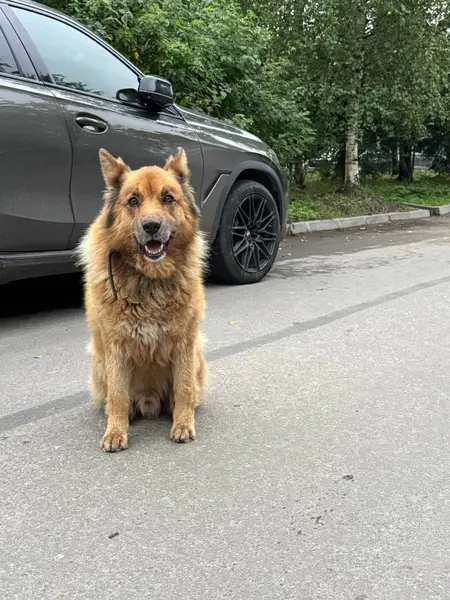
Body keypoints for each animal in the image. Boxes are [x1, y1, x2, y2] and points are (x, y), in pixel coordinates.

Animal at [77, 147, 207, 452]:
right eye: (133, 201)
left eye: (168, 198)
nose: (151, 226)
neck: (149, 278)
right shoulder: (115, 348)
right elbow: (117, 396)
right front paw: (115, 431)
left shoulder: (185, 343)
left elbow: (184, 389)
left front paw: (183, 424)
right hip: (98, 360)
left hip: (198, 350)